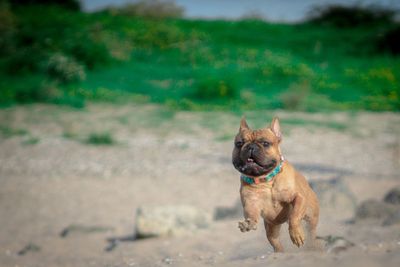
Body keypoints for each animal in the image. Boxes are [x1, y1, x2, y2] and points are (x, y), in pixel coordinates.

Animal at [231, 117, 318, 253]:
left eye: (265, 143)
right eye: (239, 143)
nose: (250, 146)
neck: (265, 181)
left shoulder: (298, 198)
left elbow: (294, 216)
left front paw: (296, 234)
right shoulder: (251, 204)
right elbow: (252, 215)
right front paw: (248, 224)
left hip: (311, 218)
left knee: (311, 231)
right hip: (271, 229)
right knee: (276, 243)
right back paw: (279, 252)